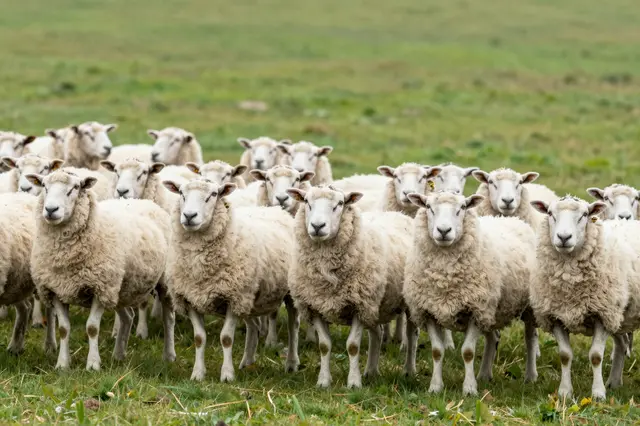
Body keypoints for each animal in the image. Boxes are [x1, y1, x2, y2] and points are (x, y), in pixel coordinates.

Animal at [26, 170, 176, 371]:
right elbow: (64, 329)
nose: (50, 210)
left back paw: (169, 355)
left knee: (169, 317)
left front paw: (93, 364)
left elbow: (92, 328)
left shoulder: (99, 288)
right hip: (120, 288)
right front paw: (62, 364)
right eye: (44, 186)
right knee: (128, 317)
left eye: (75, 187)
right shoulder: (56, 289)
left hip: (163, 282)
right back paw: (119, 355)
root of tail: (144, 201)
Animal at [162, 178, 299, 382]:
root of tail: (275, 210)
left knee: (293, 326)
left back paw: (291, 363)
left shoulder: (233, 298)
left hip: (287, 293)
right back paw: (247, 361)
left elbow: (226, 338)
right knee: (253, 326)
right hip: (249, 297)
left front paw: (227, 374)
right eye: (180, 193)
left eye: (213, 194)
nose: (189, 215)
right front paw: (198, 373)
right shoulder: (190, 298)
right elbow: (199, 338)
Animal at [286, 185, 413, 388]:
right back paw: (371, 371)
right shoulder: (316, 306)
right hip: (373, 306)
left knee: (411, 335)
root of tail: (398, 214)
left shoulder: (358, 306)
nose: (317, 226)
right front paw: (323, 381)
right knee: (376, 334)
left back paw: (409, 370)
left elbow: (353, 346)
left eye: (340, 203)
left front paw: (354, 382)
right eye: (306, 201)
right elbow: (324, 346)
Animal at [404, 191, 538, 396]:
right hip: (490, 309)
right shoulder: (429, 310)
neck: (445, 277)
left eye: (463, 207)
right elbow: (437, 351)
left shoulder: (475, 309)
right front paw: (435, 387)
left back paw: (530, 376)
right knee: (493, 338)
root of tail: (513, 219)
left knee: (530, 338)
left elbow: (468, 352)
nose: (444, 231)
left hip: (525, 307)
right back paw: (484, 374)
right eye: (428, 207)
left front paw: (469, 389)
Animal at [530, 195, 640, 400]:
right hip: (618, 316)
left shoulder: (602, 314)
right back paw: (614, 382)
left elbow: (596, 356)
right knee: (621, 345)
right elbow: (565, 355)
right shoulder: (555, 316)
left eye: (584, 214)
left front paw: (598, 394)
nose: (564, 237)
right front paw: (565, 392)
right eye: (550, 213)